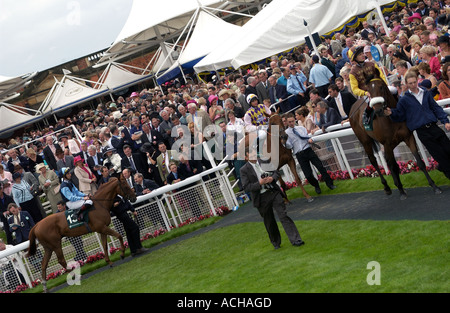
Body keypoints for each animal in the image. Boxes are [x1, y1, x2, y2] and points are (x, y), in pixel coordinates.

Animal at [350, 70, 442, 199]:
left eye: (381, 86)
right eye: (368, 89)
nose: (378, 110)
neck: (392, 118)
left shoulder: (408, 137)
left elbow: (419, 162)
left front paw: (434, 186)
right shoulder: (387, 144)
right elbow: (393, 165)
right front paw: (401, 191)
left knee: (388, 161)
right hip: (366, 141)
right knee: (374, 161)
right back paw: (387, 187)